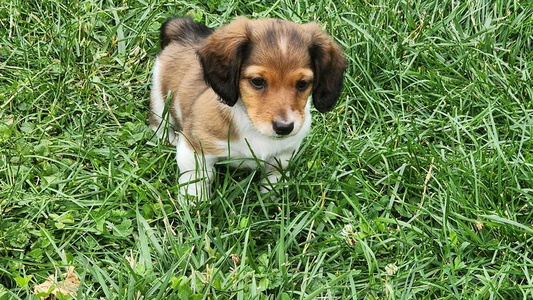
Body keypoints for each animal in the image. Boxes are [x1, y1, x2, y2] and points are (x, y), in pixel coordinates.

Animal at [149, 17, 344, 199]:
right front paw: (193, 203)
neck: (253, 129)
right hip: (160, 98)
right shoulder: (195, 148)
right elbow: (196, 180)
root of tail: (185, 32)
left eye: (302, 84)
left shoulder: (283, 154)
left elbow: (273, 178)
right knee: (158, 123)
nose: (284, 127)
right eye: (257, 81)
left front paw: (270, 197)